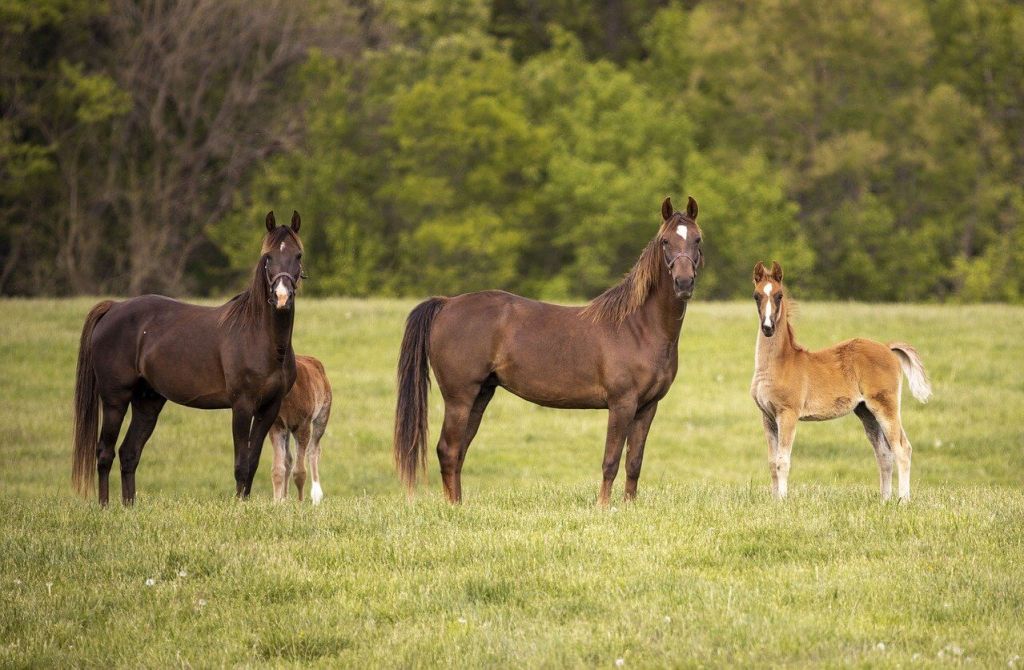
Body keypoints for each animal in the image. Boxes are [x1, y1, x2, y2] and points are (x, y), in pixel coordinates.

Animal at [71, 211, 304, 506]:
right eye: (268, 257)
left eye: (298, 255)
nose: (282, 297)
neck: (260, 338)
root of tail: (114, 308)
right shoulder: (242, 405)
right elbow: (241, 463)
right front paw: (239, 507)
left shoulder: (269, 408)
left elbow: (251, 463)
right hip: (115, 400)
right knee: (105, 452)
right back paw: (104, 507)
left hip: (148, 402)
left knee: (129, 453)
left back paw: (129, 507)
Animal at [269, 354, 332, 504]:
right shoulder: (276, 425)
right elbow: (278, 469)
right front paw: (276, 503)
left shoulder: (303, 424)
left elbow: (300, 472)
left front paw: (300, 503)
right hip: (287, 429)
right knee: (288, 459)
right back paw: (284, 498)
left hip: (323, 415)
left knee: (314, 450)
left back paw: (316, 497)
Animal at [393, 196, 704, 505]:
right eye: (665, 241)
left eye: (698, 239)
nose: (684, 283)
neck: (637, 327)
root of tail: (446, 304)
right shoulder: (622, 404)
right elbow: (611, 460)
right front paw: (603, 507)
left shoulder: (647, 407)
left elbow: (634, 462)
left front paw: (629, 506)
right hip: (459, 397)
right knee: (448, 450)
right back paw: (454, 508)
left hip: (480, 395)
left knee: (458, 452)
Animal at [749, 261, 932, 501]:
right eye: (756, 296)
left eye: (779, 296)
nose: (768, 328)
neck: (780, 363)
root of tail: (887, 347)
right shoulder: (767, 417)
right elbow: (771, 463)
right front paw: (774, 500)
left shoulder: (788, 413)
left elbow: (782, 461)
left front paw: (783, 501)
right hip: (866, 411)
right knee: (884, 453)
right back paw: (885, 500)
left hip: (886, 406)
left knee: (902, 448)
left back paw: (903, 501)